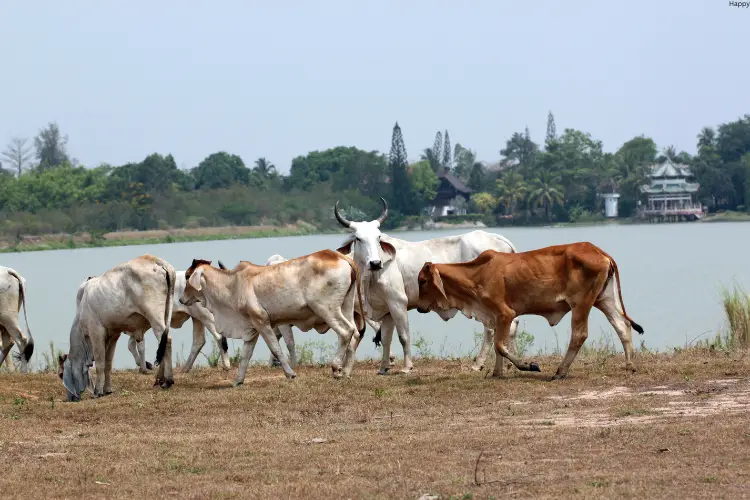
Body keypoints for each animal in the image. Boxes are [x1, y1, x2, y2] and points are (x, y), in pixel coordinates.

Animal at [59, 256, 177, 400]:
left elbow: (100, 363)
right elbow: (108, 363)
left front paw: (98, 391)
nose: (70, 398)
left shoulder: (96, 332)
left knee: (167, 340)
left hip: (154, 316)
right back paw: (160, 379)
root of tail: (155, 260)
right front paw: (107, 389)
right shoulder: (113, 334)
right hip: (165, 313)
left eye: (61, 374)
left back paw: (168, 380)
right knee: (163, 342)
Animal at [179, 250, 368, 382]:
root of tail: (339, 256)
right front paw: (238, 380)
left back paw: (336, 369)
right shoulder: (252, 327)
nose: (181, 299)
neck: (232, 285)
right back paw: (346, 372)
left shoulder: (262, 321)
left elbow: (276, 348)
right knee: (354, 334)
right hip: (346, 306)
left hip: (326, 309)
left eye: (188, 276)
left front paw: (290, 373)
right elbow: (246, 355)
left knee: (345, 331)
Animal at [414, 241, 644, 378]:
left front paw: (528, 365)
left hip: (581, 303)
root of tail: (599, 251)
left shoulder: (505, 313)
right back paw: (630, 365)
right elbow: (498, 344)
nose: (419, 308)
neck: (476, 275)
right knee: (622, 325)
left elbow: (500, 345)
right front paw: (497, 373)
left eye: (422, 280)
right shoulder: (495, 317)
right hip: (604, 299)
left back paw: (560, 371)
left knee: (579, 335)